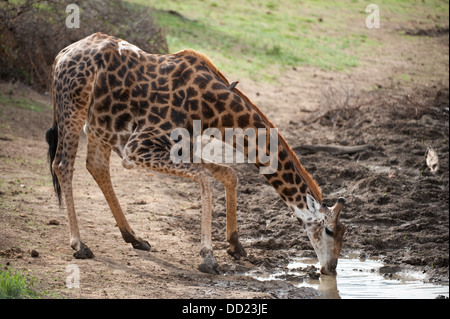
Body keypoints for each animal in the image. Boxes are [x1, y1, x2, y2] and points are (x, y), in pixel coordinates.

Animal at [46, 33, 348, 278]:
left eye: (344, 233)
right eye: (329, 230)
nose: (331, 268)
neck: (213, 110)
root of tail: (60, 56)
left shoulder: (181, 148)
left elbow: (229, 174)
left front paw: (235, 245)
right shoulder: (136, 148)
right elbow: (205, 178)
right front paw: (208, 258)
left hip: (100, 124)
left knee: (95, 166)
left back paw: (134, 238)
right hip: (74, 107)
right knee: (62, 164)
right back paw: (80, 245)